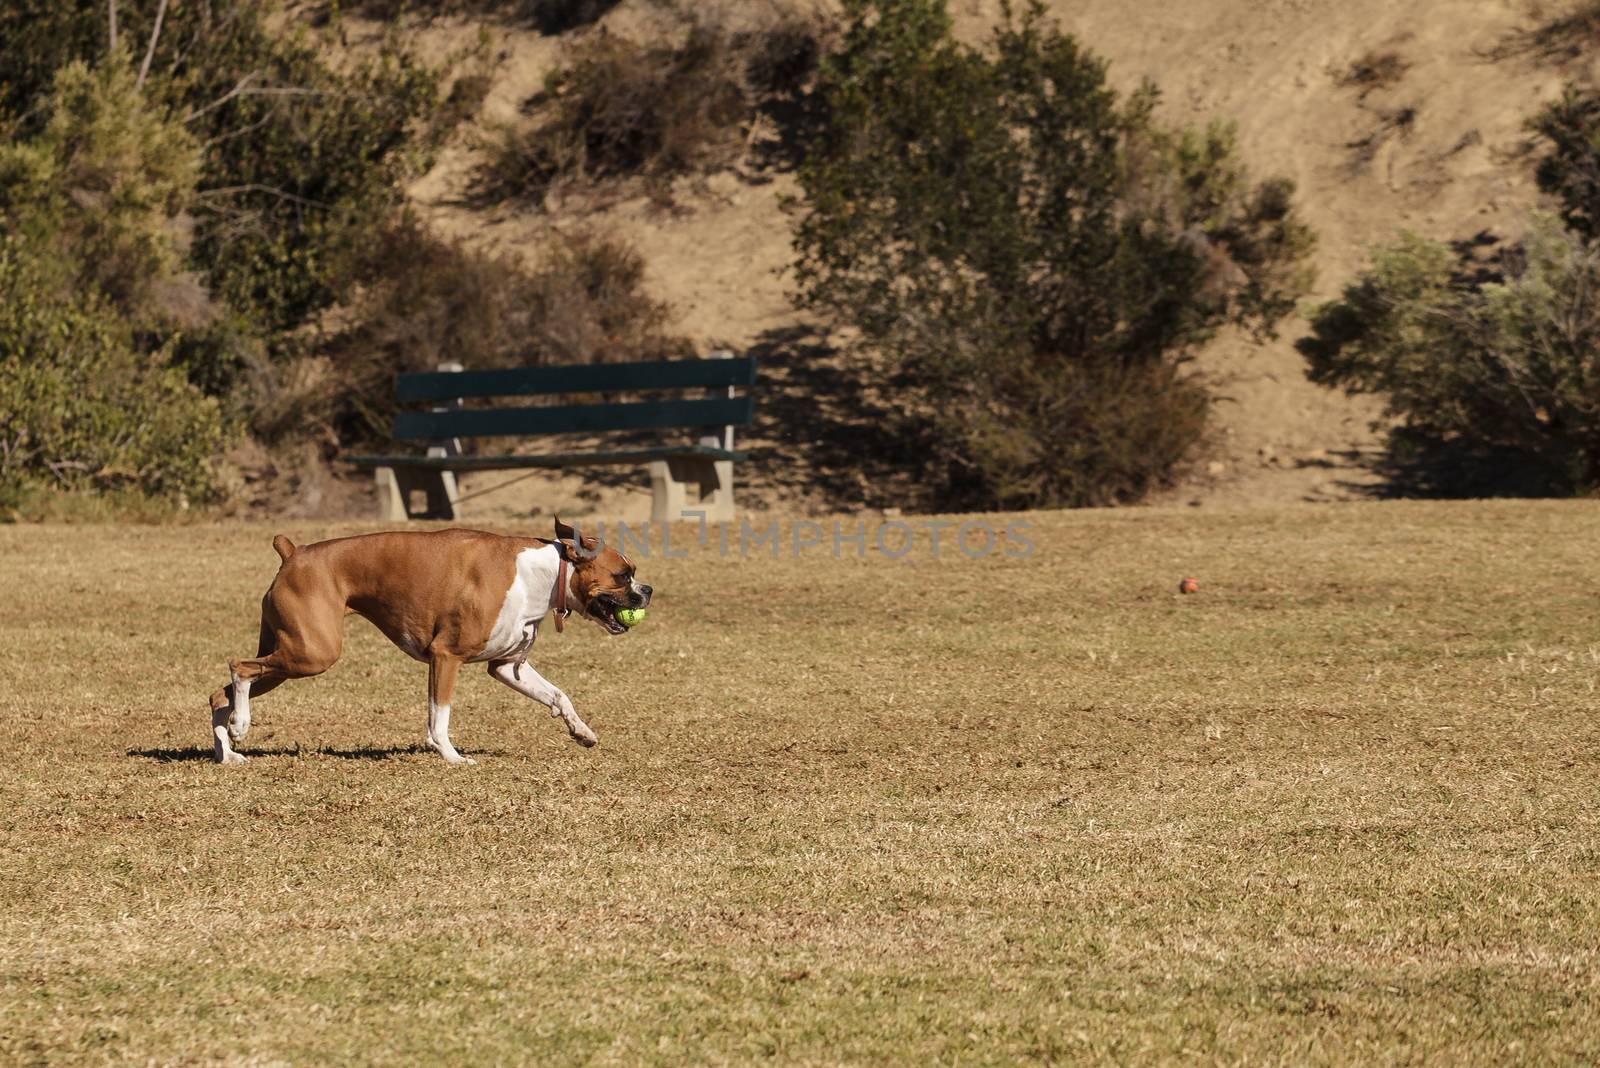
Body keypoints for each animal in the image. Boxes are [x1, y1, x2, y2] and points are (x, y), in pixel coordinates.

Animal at [208, 518, 649, 764]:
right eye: (622, 575)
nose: (647, 591)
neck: (541, 573)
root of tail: (294, 553)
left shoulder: (508, 667)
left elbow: (558, 695)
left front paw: (581, 731)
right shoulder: (445, 656)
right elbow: (440, 716)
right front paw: (451, 756)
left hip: (289, 656)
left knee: (220, 694)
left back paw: (228, 751)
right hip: (312, 653)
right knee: (238, 668)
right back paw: (240, 726)